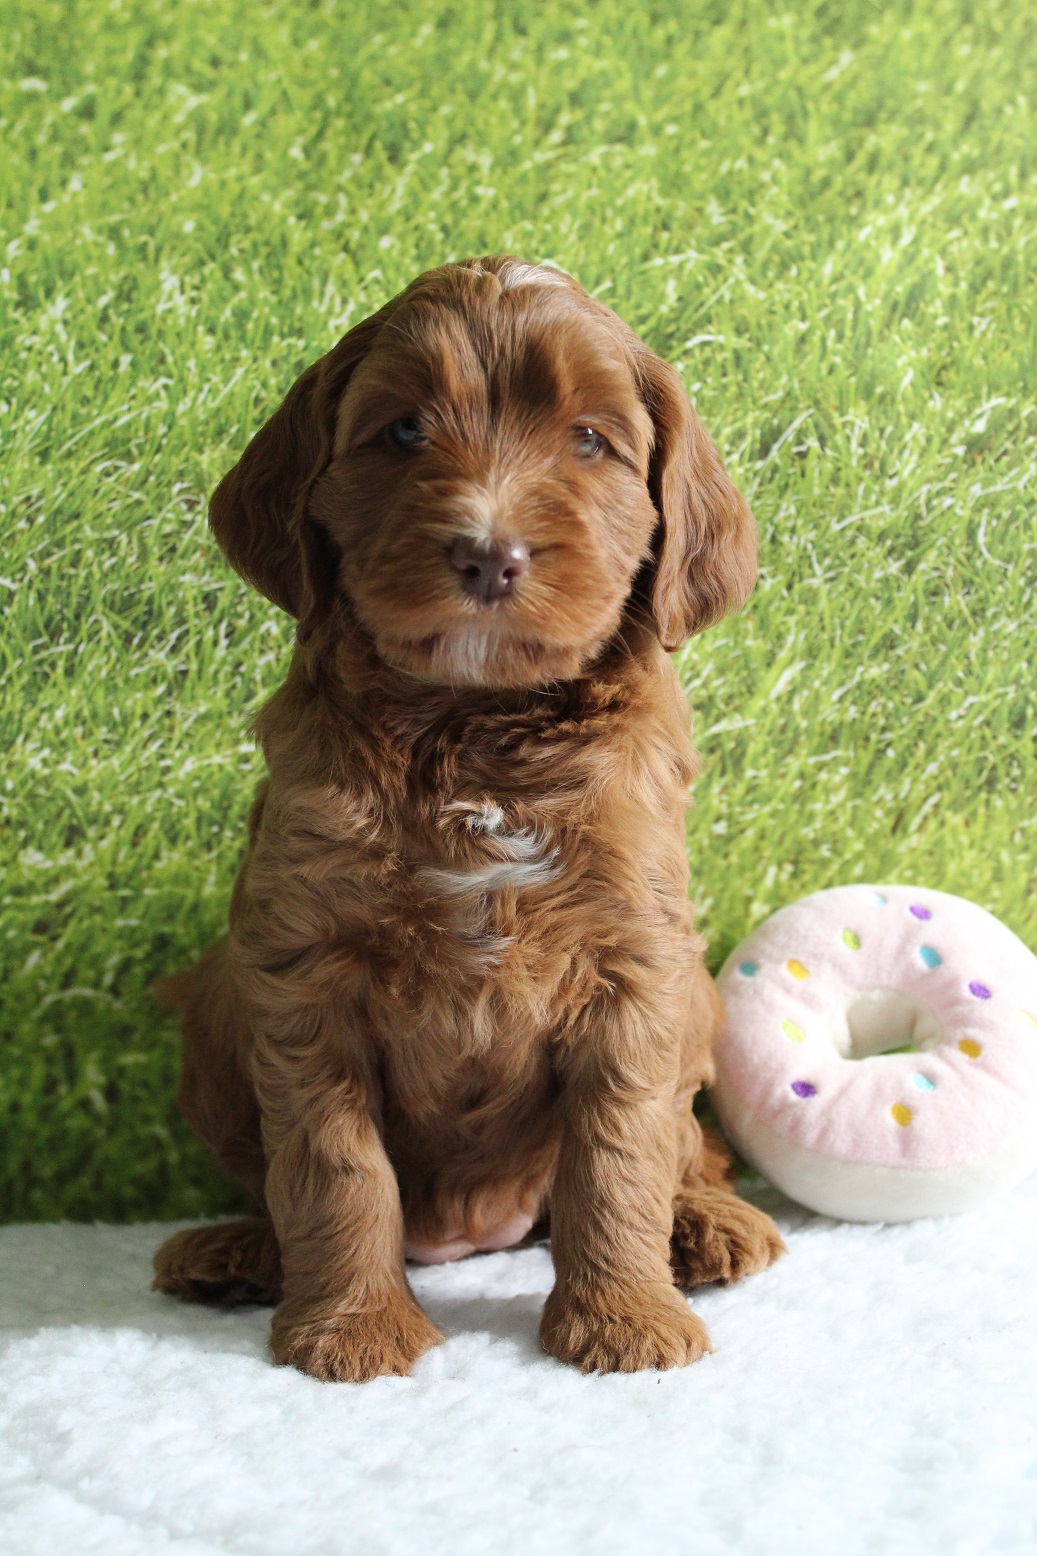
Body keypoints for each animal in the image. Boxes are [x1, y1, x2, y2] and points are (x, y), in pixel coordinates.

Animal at [153, 255, 784, 1381]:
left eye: (590, 440)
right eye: (402, 430)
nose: (490, 555)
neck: (473, 723)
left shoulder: (636, 962)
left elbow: (619, 1149)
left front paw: (625, 1319)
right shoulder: (300, 963)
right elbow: (330, 1160)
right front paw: (353, 1328)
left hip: (699, 997)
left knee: (686, 1143)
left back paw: (705, 1225)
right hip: (218, 999)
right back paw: (237, 1252)